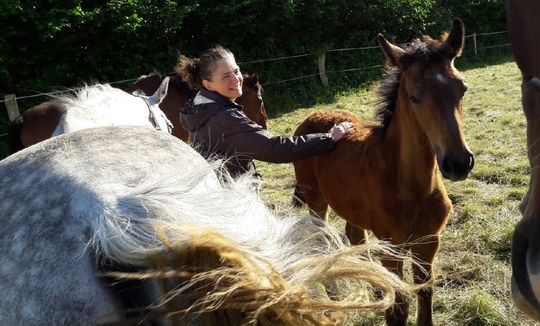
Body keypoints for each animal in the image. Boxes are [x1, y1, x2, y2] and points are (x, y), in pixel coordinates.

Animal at [292, 18, 472, 326]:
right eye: (414, 96)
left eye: (462, 88)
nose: (458, 163)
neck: (409, 185)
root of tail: (313, 115)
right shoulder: (392, 246)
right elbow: (399, 307)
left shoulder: (429, 240)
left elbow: (425, 291)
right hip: (316, 201)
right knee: (322, 239)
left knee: (354, 233)